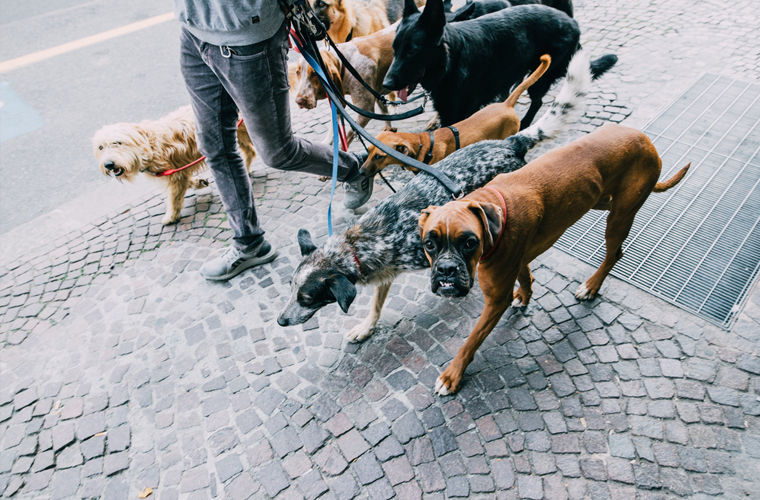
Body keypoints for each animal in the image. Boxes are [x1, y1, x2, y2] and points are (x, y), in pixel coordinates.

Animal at [92, 106, 256, 226]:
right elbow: (185, 181)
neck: (148, 144)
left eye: (118, 143)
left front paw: (171, 216)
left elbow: (173, 198)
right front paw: (198, 182)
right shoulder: (177, 171)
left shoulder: (175, 176)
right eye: (100, 147)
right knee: (250, 150)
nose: (108, 164)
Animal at [382, 0, 616, 127]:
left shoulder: (458, 115)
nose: (386, 85)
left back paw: (524, 124)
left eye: (412, 51)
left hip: (541, 77)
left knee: (537, 101)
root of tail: (573, 23)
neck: (451, 61)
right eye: (394, 49)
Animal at [418, 124, 692, 394]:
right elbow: (526, 278)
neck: (494, 211)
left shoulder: (496, 300)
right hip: (602, 200)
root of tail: (645, 140)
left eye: (469, 243)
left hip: (619, 217)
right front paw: (524, 297)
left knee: (614, 253)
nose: (446, 269)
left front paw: (452, 375)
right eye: (429, 244)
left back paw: (591, 286)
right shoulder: (518, 259)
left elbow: (472, 340)